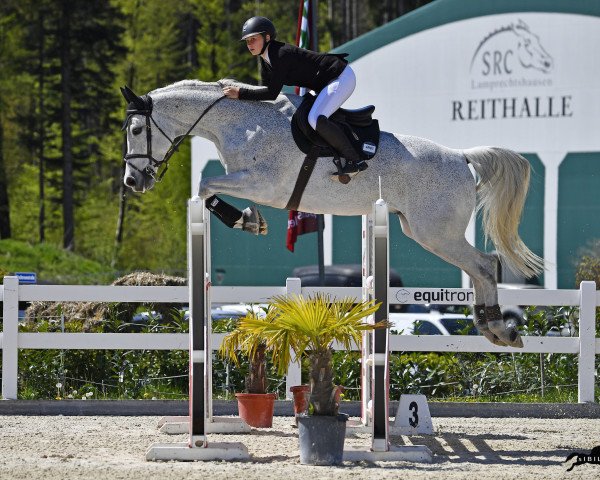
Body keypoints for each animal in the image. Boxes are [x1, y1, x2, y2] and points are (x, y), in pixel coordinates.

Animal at [120, 79, 544, 348]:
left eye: (137, 129)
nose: (132, 180)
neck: (242, 123)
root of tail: (460, 156)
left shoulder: (262, 184)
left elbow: (205, 185)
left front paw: (247, 220)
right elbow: (206, 190)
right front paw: (250, 220)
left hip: (435, 233)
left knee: (485, 264)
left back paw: (498, 329)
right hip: (423, 230)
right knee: (480, 267)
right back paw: (491, 326)